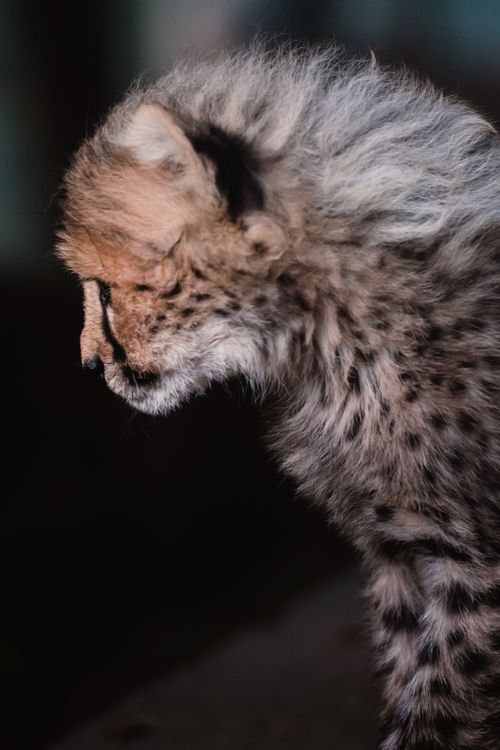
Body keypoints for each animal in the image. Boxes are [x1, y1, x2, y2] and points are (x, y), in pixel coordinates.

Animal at [57, 42, 500, 749]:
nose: (89, 365)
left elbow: (437, 710)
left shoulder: (474, 568)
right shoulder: (398, 555)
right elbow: (407, 677)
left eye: (103, 288)